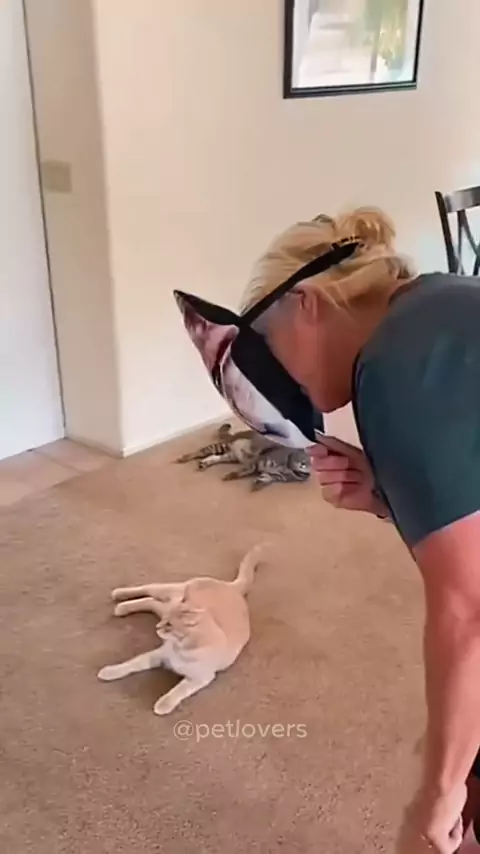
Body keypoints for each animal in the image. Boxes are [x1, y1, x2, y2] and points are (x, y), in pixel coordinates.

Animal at [97, 545, 264, 715]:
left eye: (169, 625)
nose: (157, 627)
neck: (182, 648)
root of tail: (233, 588)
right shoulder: (158, 654)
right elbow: (132, 663)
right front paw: (110, 671)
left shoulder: (200, 678)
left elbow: (179, 690)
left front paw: (163, 705)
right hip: (171, 593)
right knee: (149, 589)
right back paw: (120, 595)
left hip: (165, 604)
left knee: (151, 601)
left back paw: (121, 607)